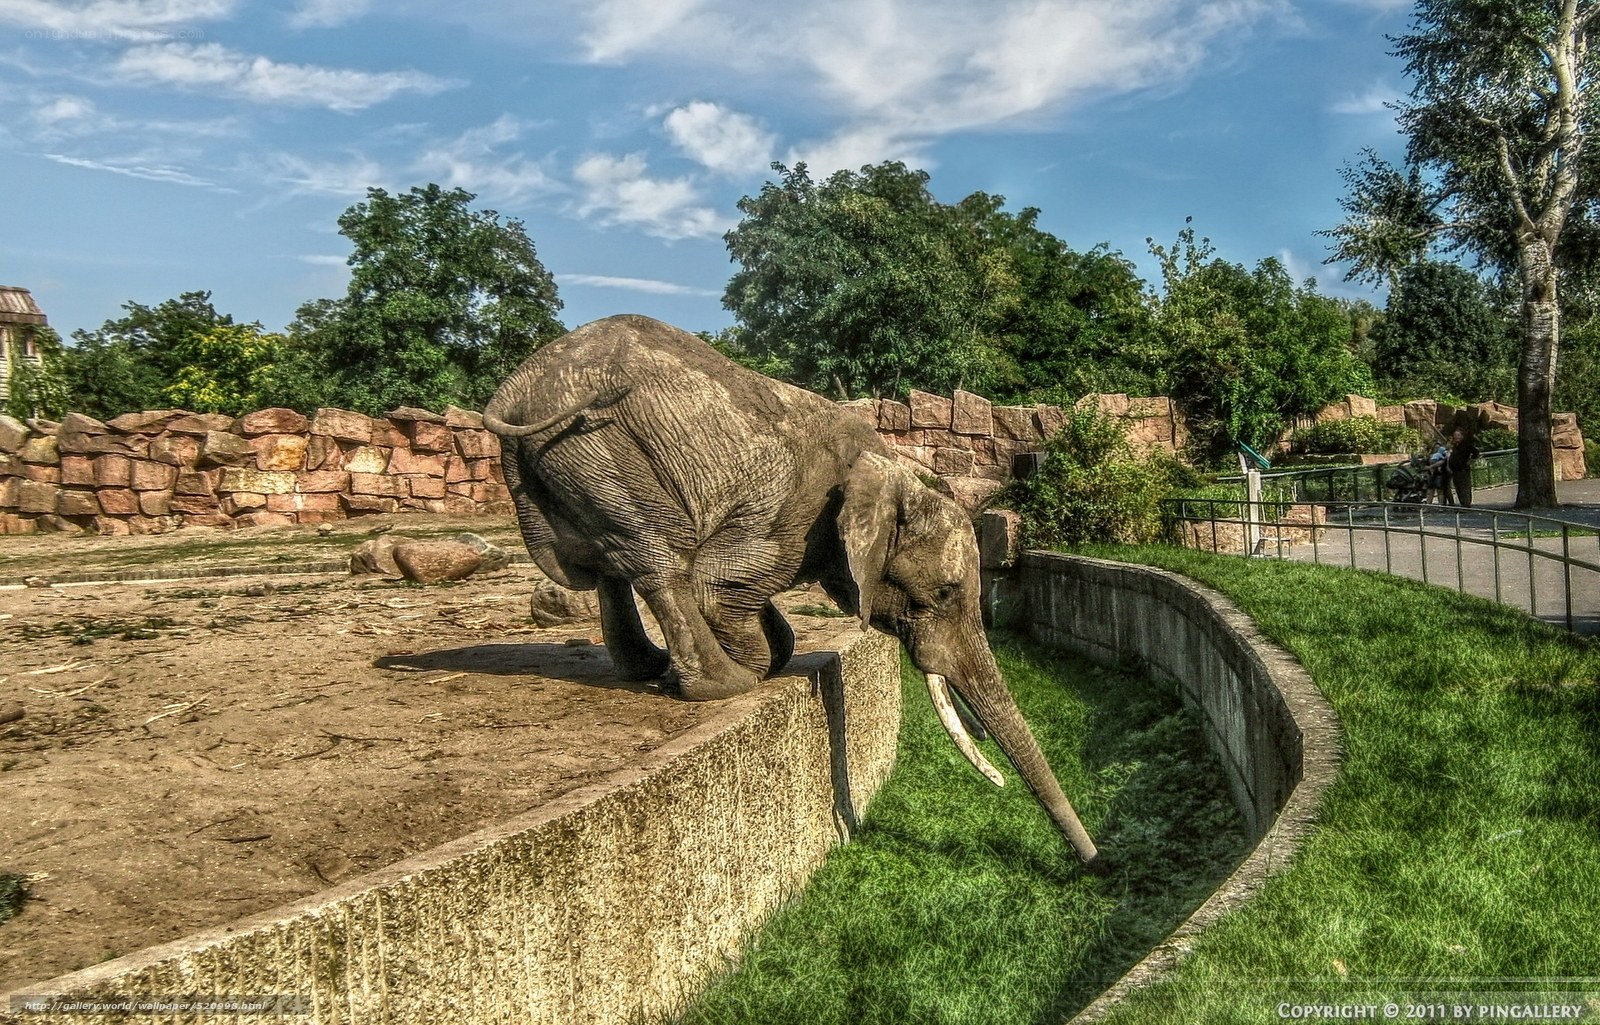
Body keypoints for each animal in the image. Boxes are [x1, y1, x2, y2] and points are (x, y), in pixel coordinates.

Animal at [482, 315, 1100, 869]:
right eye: (946, 593)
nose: (1094, 863)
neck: (891, 471)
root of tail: (512, 394)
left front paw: (768, 647)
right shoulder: (795, 516)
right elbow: (717, 583)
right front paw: (754, 660)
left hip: (562, 465)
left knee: (602, 561)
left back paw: (652, 669)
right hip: (599, 447)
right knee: (658, 556)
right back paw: (721, 682)